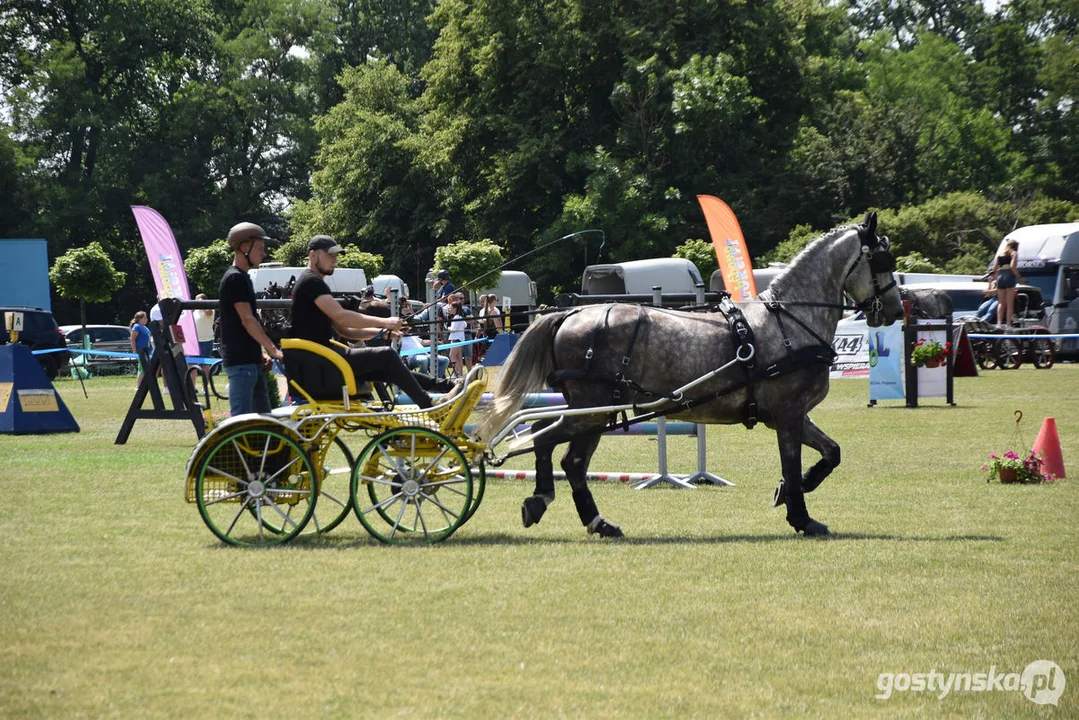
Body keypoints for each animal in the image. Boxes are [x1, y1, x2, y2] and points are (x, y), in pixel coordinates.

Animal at [481, 213, 902, 535]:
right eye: (883, 261)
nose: (897, 309)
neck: (790, 319)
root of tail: (571, 313)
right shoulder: (788, 412)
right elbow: (792, 461)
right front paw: (801, 515)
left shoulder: (792, 414)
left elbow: (831, 452)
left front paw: (794, 488)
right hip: (594, 408)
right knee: (551, 444)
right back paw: (553, 504)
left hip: (593, 411)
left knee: (561, 452)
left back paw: (590, 519)